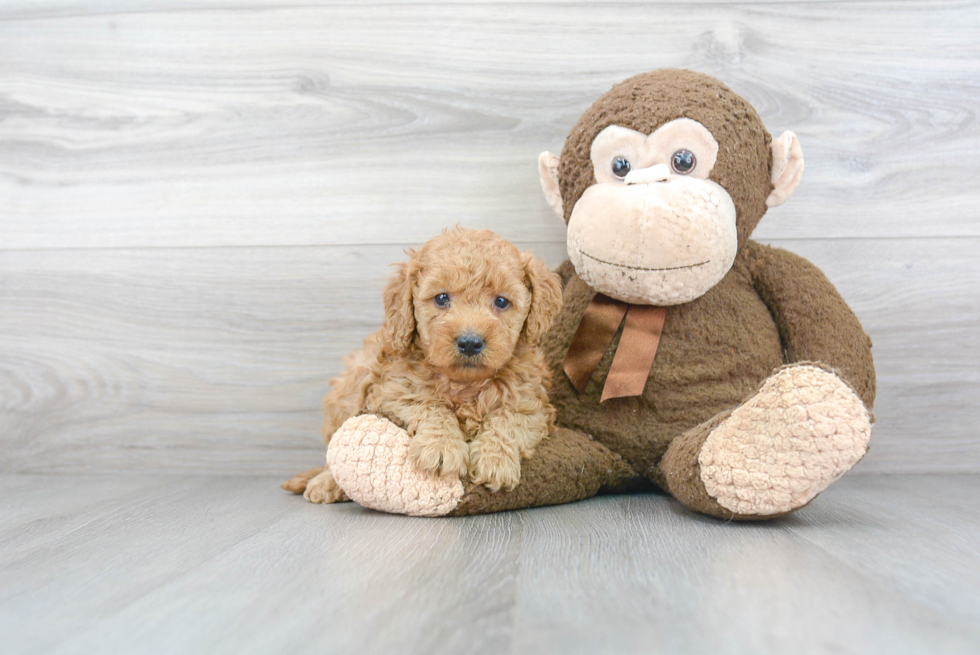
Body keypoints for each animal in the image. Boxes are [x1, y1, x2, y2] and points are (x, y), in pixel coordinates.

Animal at [280, 228, 564, 504]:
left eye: (502, 302)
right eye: (441, 298)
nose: (470, 342)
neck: (464, 384)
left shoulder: (532, 404)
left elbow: (508, 419)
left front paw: (495, 460)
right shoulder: (393, 389)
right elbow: (430, 405)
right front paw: (441, 447)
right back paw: (325, 484)